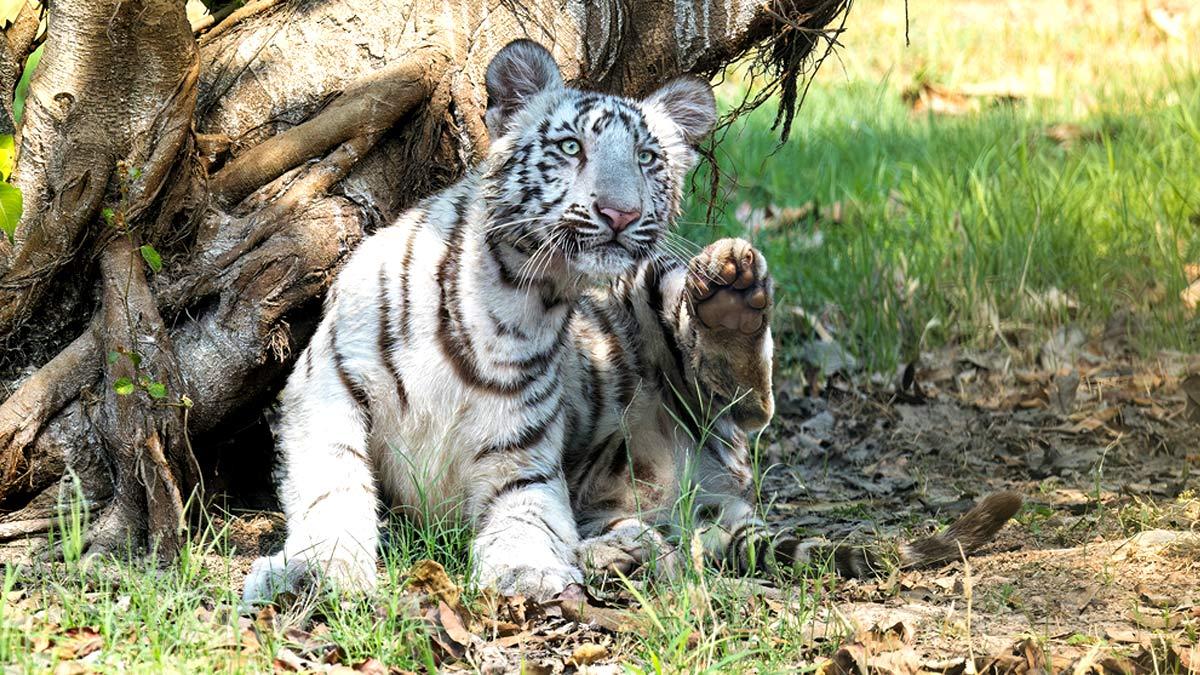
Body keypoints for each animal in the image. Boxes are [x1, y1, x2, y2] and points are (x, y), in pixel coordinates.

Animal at [242, 40, 1020, 604]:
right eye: (570, 148)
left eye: (646, 158)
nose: (618, 213)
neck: (518, 296)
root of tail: (718, 489)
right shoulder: (324, 390)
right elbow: (333, 489)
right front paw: (317, 572)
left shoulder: (521, 452)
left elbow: (524, 515)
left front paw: (527, 575)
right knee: (667, 535)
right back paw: (622, 551)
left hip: (667, 302)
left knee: (749, 400)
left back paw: (733, 290)